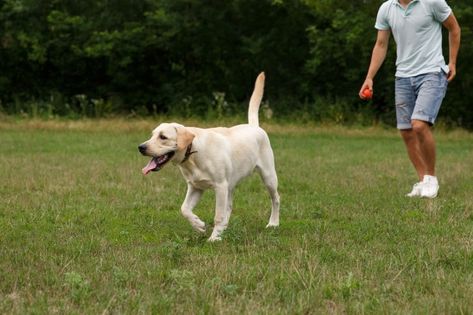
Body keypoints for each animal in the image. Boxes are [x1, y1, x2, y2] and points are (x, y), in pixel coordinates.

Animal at [138, 73, 278, 242]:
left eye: (163, 137)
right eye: (152, 135)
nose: (141, 147)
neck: (193, 154)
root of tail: (254, 126)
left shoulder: (220, 187)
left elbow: (218, 216)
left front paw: (214, 239)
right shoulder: (195, 187)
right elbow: (184, 209)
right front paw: (199, 225)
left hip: (268, 177)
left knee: (276, 199)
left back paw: (273, 223)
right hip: (230, 186)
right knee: (228, 208)